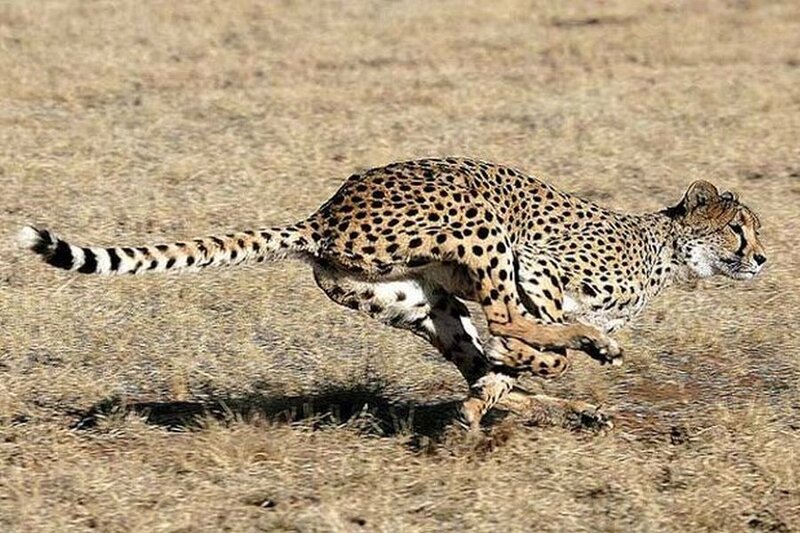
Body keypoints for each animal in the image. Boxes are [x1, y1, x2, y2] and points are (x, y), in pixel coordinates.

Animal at [18, 157, 766, 430]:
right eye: (739, 228)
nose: (762, 257)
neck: (667, 250)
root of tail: (325, 214)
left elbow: (504, 366)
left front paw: (502, 392)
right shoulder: (537, 265)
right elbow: (532, 329)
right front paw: (573, 348)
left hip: (417, 302)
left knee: (476, 354)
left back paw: (536, 402)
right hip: (478, 224)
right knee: (500, 322)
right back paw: (558, 368)